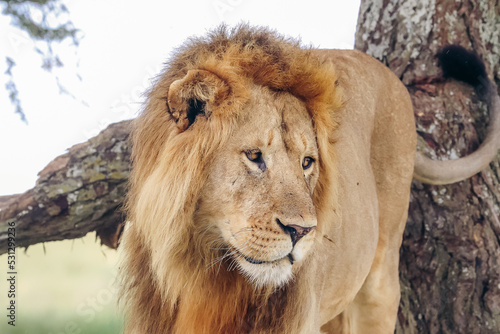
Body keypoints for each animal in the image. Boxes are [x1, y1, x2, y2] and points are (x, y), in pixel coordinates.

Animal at [121, 24, 500, 332]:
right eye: (254, 156)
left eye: (307, 162)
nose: (301, 232)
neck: (207, 274)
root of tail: (390, 76)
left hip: (379, 280)